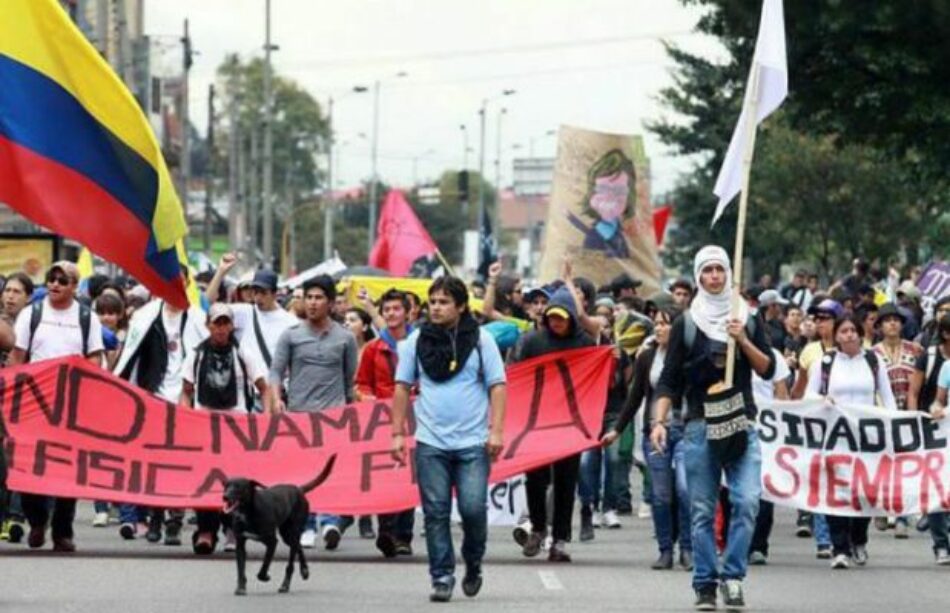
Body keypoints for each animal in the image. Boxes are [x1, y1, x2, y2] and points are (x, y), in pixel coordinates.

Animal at [223, 454, 338, 592]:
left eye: (238, 486)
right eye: (226, 486)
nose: (225, 496)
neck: (248, 511)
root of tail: (298, 489)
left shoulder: (272, 542)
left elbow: (264, 566)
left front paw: (265, 577)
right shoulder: (240, 543)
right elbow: (241, 569)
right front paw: (241, 587)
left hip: (292, 532)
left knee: (291, 563)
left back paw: (285, 585)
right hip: (287, 535)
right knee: (298, 546)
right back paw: (304, 570)